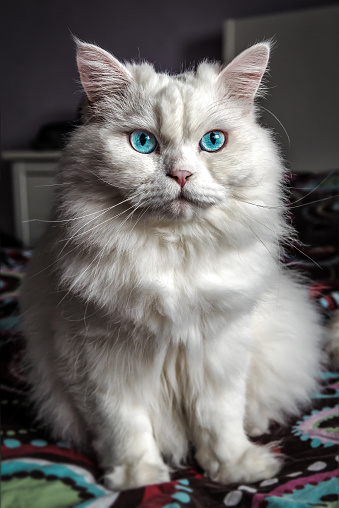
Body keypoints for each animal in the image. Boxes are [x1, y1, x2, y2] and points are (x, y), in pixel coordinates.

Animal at [20, 40, 324, 492]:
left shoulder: (219, 350)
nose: (181, 175)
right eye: (143, 143)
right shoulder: (101, 359)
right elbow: (124, 427)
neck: (173, 252)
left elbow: (219, 421)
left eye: (213, 142)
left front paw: (236, 470)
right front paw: (137, 479)